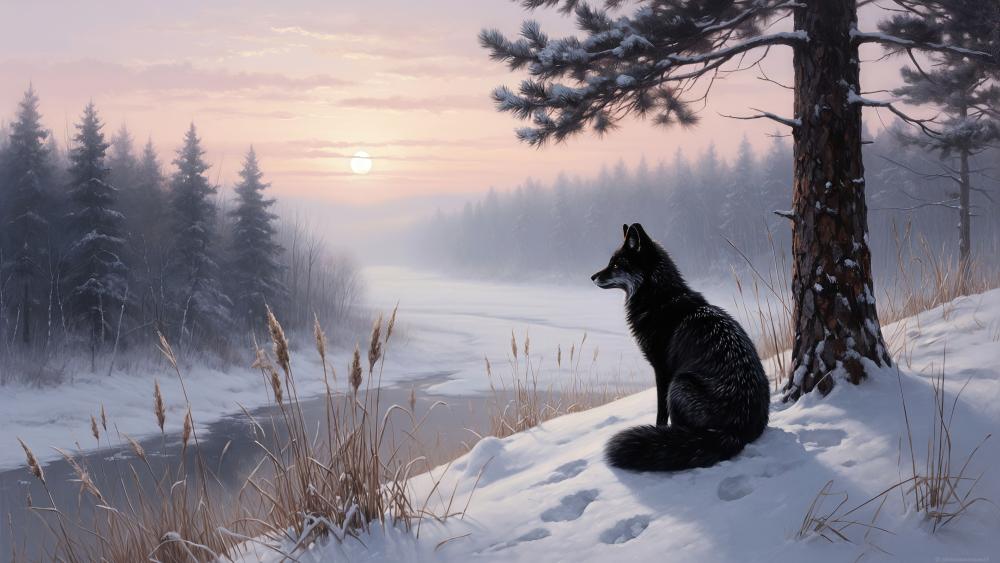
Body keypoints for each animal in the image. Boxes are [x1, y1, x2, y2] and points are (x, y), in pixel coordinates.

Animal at [591, 223, 770, 471]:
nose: (592, 276)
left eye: (616, 264)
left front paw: (656, 430)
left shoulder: (662, 371)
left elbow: (660, 415)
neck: (659, 299)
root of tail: (737, 431)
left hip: (679, 383)